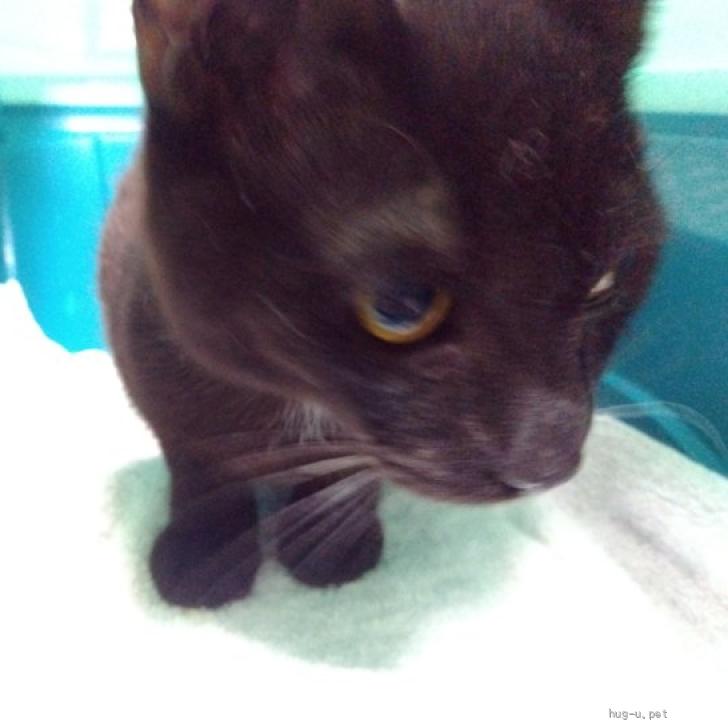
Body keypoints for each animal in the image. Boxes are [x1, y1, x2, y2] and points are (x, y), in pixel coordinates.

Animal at [100, 0, 664, 608]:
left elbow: (356, 473)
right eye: (399, 308)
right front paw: (203, 555)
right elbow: (199, 463)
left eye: (605, 281)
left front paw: (329, 547)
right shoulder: (153, 363)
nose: (549, 463)